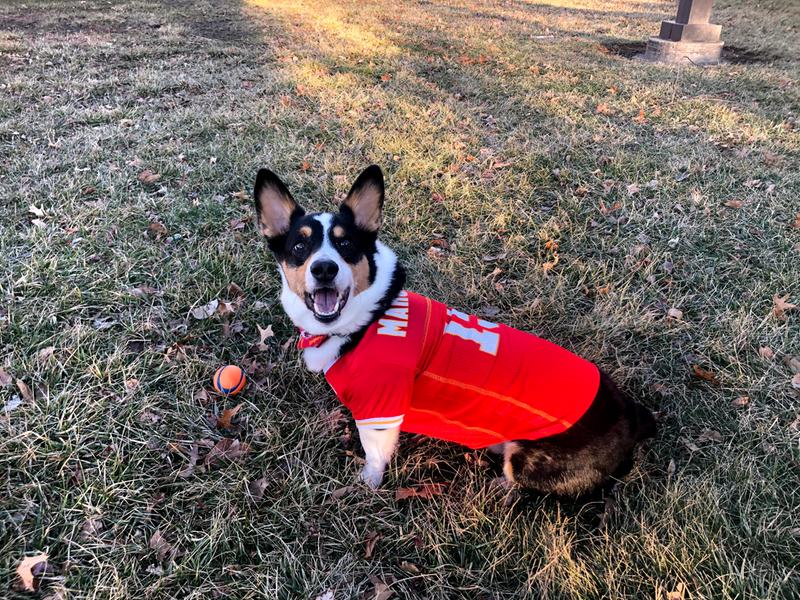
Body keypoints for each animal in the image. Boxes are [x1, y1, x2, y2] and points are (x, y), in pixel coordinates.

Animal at [253, 165, 652, 496]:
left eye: (346, 244)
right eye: (299, 246)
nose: (324, 269)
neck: (367, 319)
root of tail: (632, 416)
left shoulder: (380, 412)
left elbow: (375, 460)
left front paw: (364, 487)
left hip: (525, 460)